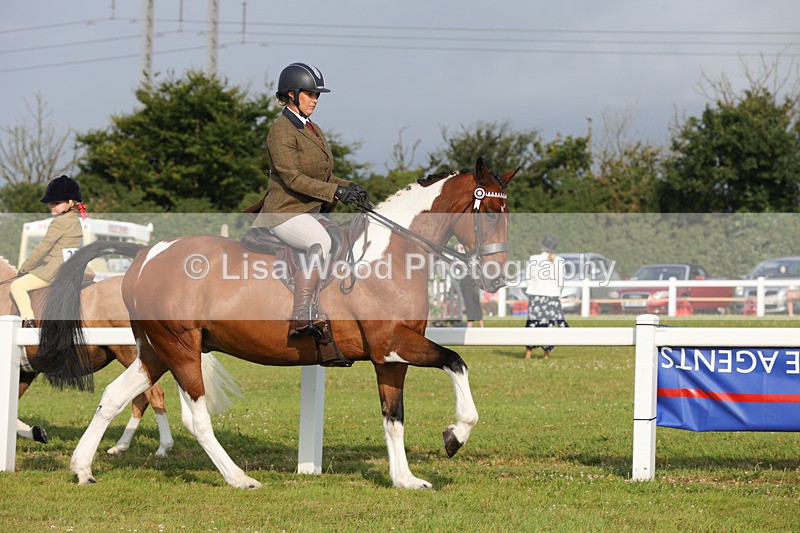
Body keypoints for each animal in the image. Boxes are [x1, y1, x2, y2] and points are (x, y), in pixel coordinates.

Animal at [0, 254, 239, 455]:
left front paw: (35, 432)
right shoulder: (26, 372)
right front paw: (35, 432)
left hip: (131, 354)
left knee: (151, 395)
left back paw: (161, 446)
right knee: (143, 397)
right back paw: (122, 446)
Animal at [37, 157, 516, 489]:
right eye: (489, 214)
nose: (497, 278)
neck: (389, 257)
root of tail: (146, 254)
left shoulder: (390, 357)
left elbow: (393, 416)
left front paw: (404, 479)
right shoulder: (395, 343)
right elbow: (456, 362)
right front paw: (455, 435)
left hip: (156, 348)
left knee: (116, 397)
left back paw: (82, 468)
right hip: (181, 347)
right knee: (196, 418)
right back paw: (239, 479)